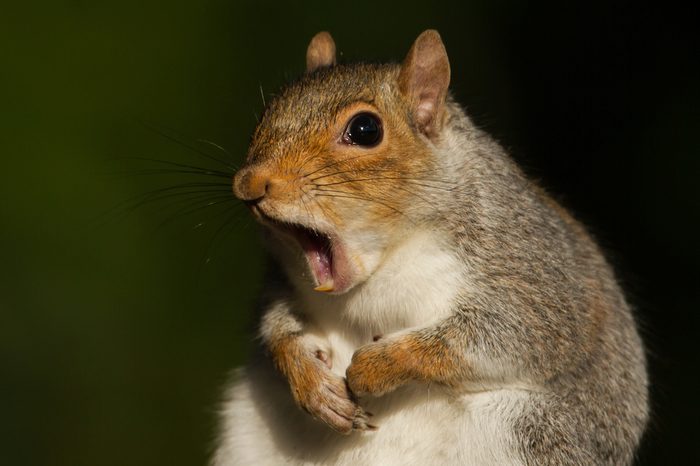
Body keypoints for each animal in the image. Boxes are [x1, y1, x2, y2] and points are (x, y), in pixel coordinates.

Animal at [212, 30, 649, 465]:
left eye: (365, 129)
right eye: (267, 112)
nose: (249, 183)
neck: (382, 265)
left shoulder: (531, 275)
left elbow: (503, 337)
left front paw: (377, 365)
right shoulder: (283, 281)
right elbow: (278, 325)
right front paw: (310, 381)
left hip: (529, 432)